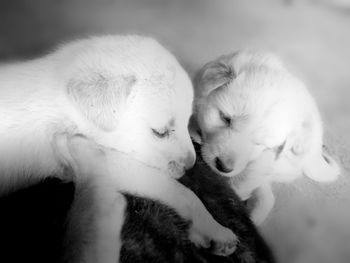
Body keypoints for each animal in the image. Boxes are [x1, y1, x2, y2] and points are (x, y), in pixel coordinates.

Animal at [0, 36, 237, 262]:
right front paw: (215, 229)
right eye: (159, 132)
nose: (190, 165)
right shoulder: (99, 157)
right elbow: (177, 189)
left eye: (187, 121)